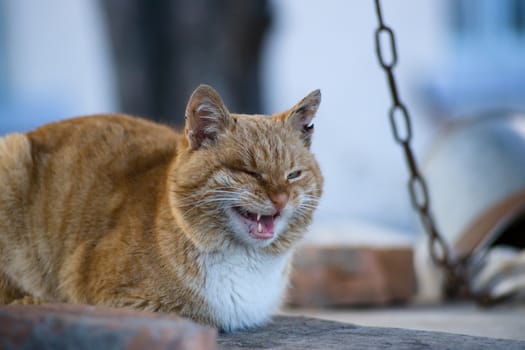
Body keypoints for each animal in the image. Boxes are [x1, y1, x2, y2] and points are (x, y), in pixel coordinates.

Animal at [0, 84, 324, 330]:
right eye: (249, 172)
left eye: (293, 174)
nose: (281, 199)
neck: (247, 261)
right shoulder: (123, 302)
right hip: (11, 155)